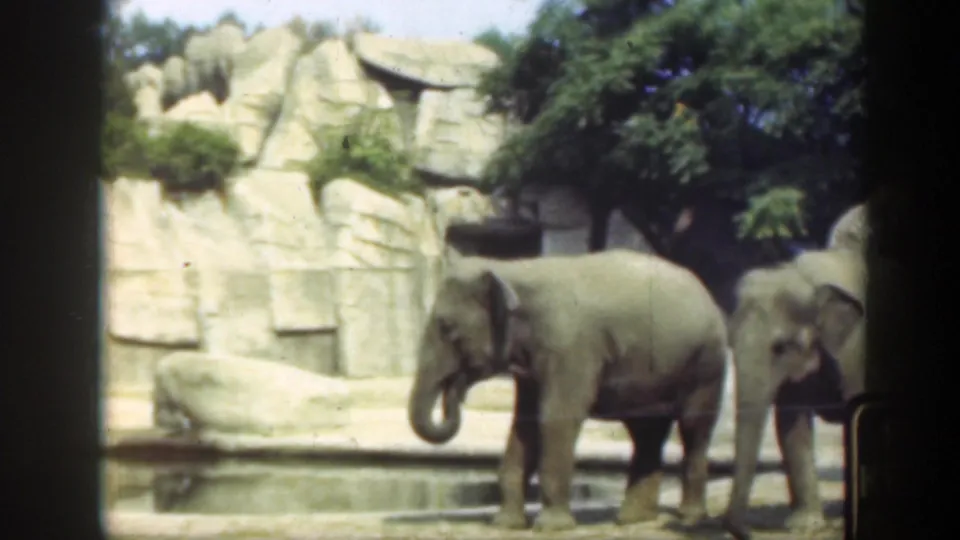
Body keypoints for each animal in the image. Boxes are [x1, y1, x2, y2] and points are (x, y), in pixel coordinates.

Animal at [407, 249, 730, 531]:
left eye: (446, 327)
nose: (456, 389)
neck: (513, 269)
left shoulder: (570, 346)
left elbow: (556, 419)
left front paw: (550, 527)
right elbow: (524, 425)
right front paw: (506, 524)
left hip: (707, 362)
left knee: (693, 427)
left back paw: (689, 518)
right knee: (646, 432)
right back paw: (633, 519)